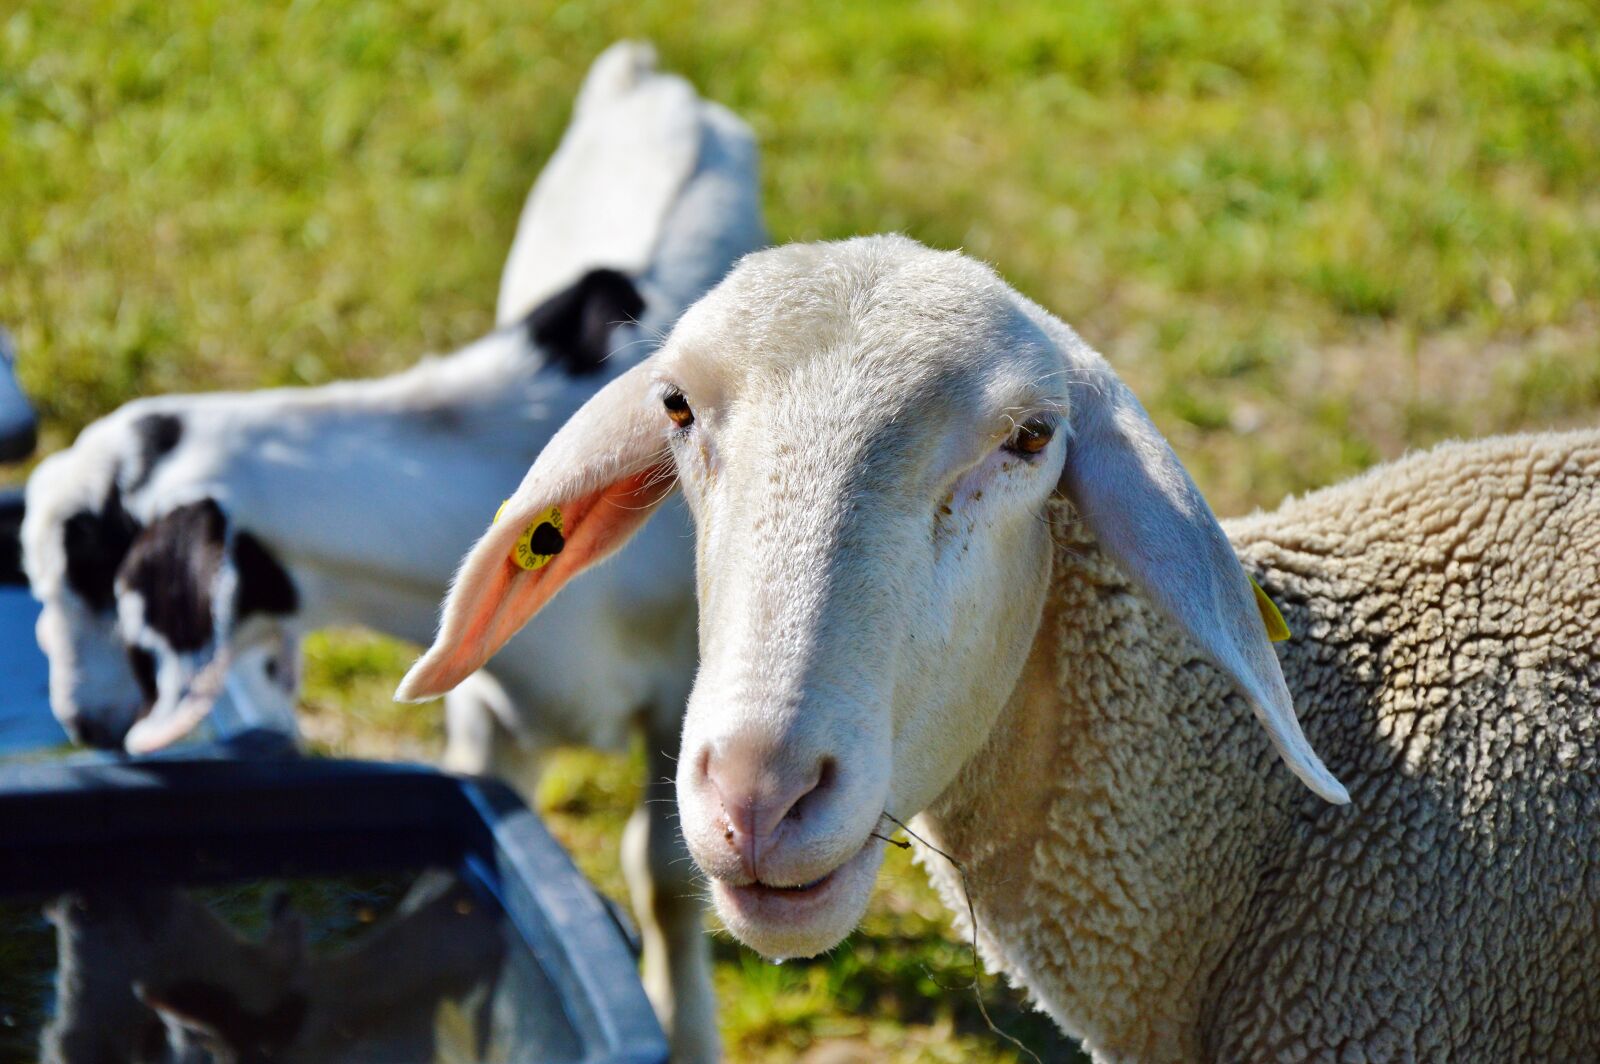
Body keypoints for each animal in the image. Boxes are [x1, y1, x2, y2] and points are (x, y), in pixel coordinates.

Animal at [23, 40, 763, 1062]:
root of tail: (646, 75)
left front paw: (685, 1030)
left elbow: (662, 874)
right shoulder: (487, 717)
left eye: (92, 574)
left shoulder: (682, 700)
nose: (83, 726)